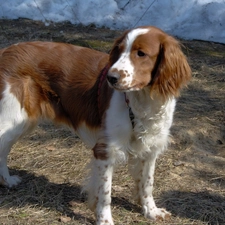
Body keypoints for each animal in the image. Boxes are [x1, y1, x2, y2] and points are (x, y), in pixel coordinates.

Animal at [0, 25, 192, 223]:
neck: (142, 102)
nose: (111, 77)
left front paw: (151, 211)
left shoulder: (150, 147)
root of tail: (5, 51)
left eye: (141, 53)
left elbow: (147, 183)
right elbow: (105, 193)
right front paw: (105, 220)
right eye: (119, 50)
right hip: (12, 119)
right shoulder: (105, 150)